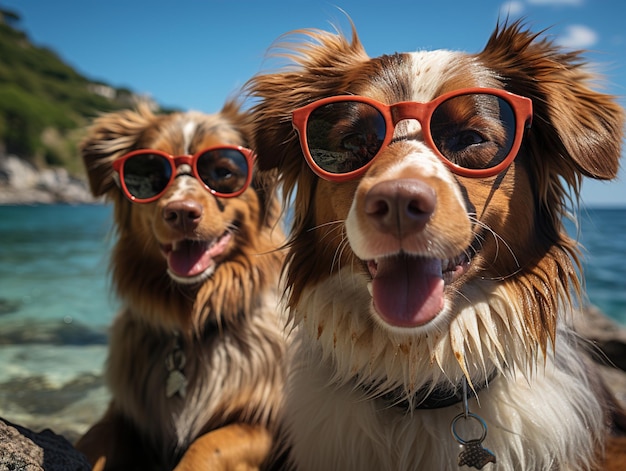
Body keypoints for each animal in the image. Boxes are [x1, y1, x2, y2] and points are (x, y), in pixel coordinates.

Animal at [73, 101, 286, 470]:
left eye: (223, 172)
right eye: (148, 175)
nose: (181, 212)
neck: (190, 327)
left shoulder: (265, 424)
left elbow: (207, 446)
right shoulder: (126, 412)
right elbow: (92, 438)